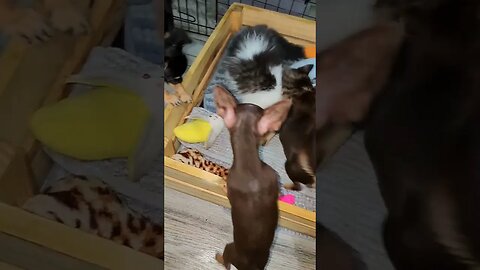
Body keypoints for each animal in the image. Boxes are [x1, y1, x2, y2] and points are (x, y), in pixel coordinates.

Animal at [214, 86, 288, 270]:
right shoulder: (273, 176)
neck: (249, 165)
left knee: (226, 261)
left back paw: (218, 257)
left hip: (230, 247)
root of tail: (250, 266)